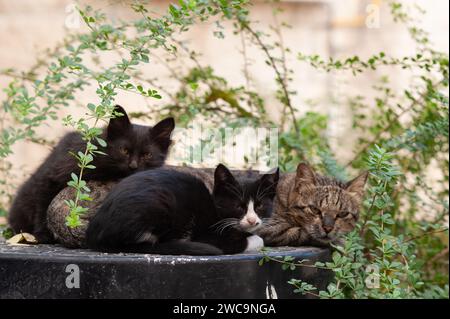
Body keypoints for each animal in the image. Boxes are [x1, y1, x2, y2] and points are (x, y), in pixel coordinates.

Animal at [8, 106, 176, 244]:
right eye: (124, 150)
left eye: (147, 155)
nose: (133, 166)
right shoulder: (52, 177)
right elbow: (42, 206)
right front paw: (42, 234)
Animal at [86, 164, 280, 256]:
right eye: (239, 206)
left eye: (259, 205)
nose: (252, 220)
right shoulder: (208, 235)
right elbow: (256, 240)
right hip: (161, 204)